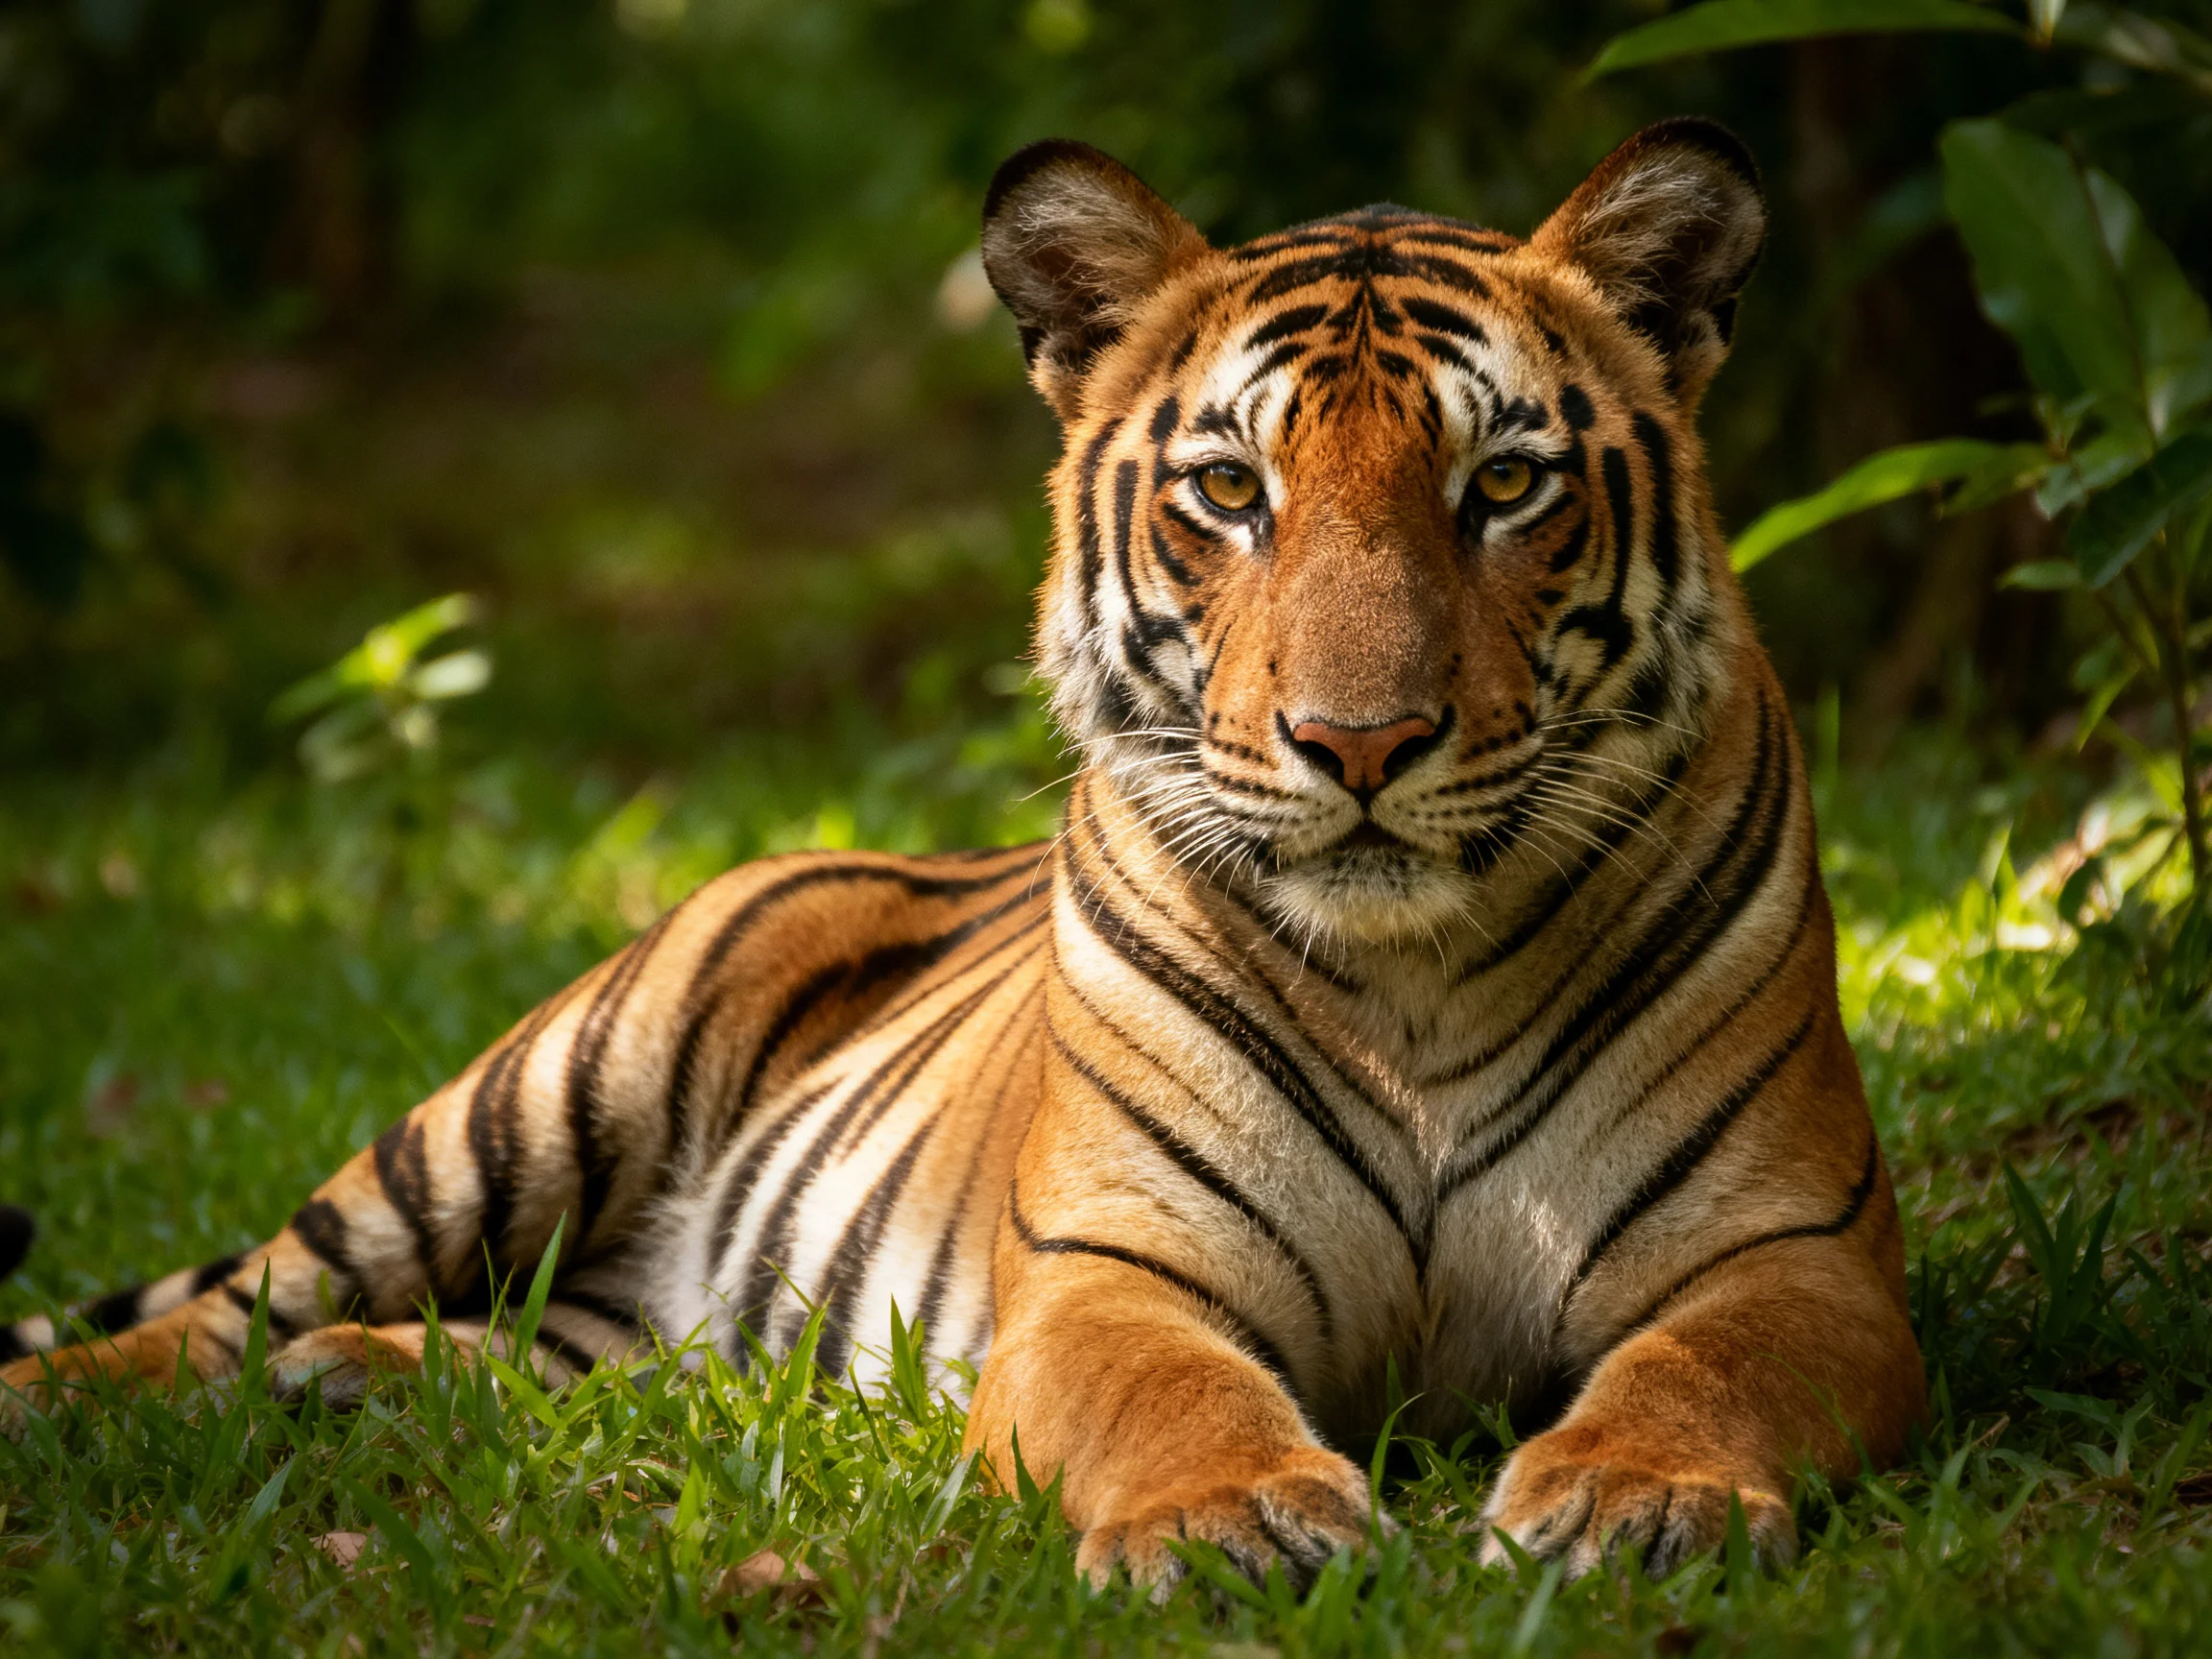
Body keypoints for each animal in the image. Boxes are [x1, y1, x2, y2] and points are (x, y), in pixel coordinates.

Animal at [1, 119, 1925, 1590]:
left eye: (1505, 487)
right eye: (1231, 492)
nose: (1360, 743)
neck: (1414, 983)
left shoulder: (1793, 1253)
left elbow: (1704, 1367)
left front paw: (1638, 1495)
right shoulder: (1110, 1268)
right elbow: (1171, 1398)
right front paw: (1230, 1520)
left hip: (629, 1311)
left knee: (557, 1359)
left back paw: (352, 1386)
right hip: (523, 1102)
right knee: (225, 1305)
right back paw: (86, 1399)